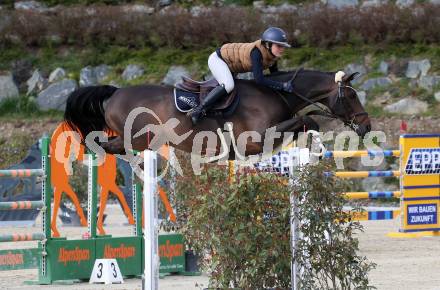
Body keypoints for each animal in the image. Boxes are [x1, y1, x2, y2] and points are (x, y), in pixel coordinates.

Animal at [62, 69, 372, 161]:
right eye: (351, 96)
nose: (366, 126)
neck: (276, 93)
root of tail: (115, 93)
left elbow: (305, 123)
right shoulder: (254, 141)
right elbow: (308, 119)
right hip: (138, 136)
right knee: (105, 145)